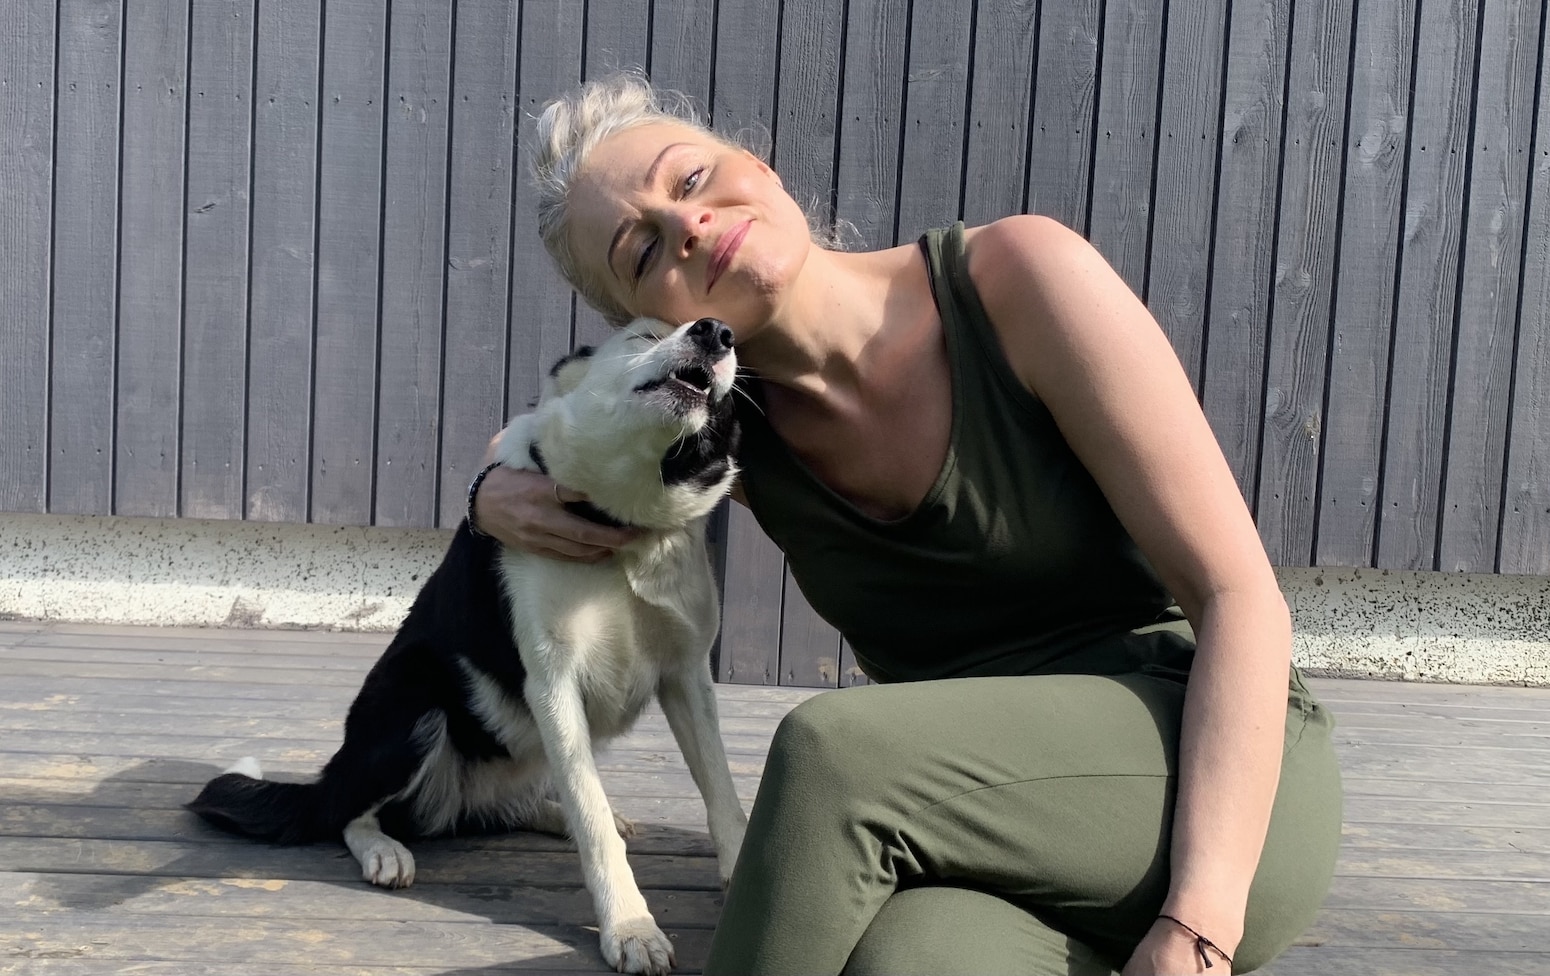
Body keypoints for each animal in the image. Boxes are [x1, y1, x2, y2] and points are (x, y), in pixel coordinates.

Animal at [187, 316, 747, 976]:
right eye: (643, 336)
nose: (717, 331)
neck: (622, 526)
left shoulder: (687, 676)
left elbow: (719, 792)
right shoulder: (552, 681)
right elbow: (591, 819)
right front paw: (631, 928)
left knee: (526, 803)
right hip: (414, 702)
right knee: (344, 812)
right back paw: (383, 849)